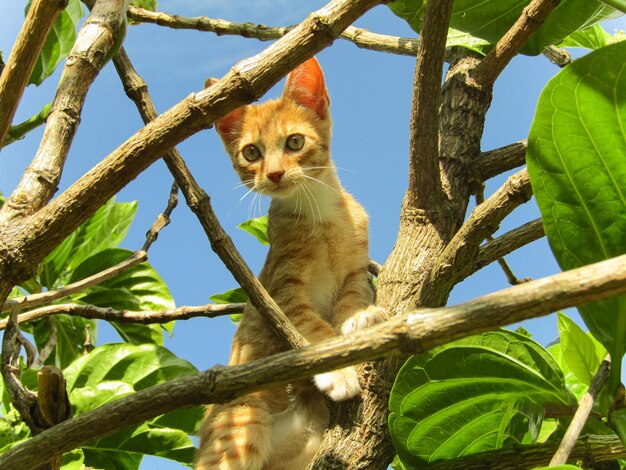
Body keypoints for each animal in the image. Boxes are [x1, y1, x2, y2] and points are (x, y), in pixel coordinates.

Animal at [195, 57, 382, 470]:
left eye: (294, 142)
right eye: (251, 153)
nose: (275, 173)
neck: (322, 215)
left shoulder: (355, 267)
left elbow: (354, 294)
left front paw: (359, 317)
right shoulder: (281, 290)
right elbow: (314, 329)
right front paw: (338, 370)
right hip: (241, 425)